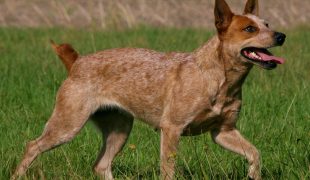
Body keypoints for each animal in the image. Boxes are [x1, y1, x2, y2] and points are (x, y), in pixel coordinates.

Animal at [12, 0, 286, 179]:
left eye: (267, 23)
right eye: (249, 29)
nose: (281, 35)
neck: (222, 80)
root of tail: (77, 62)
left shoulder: (223, 132)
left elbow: (254, 154)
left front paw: (253, 175)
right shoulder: (171, 129)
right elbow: (168, 171)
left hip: (120, 129)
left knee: (101, 165)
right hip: (67, 125)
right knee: (32, 146)